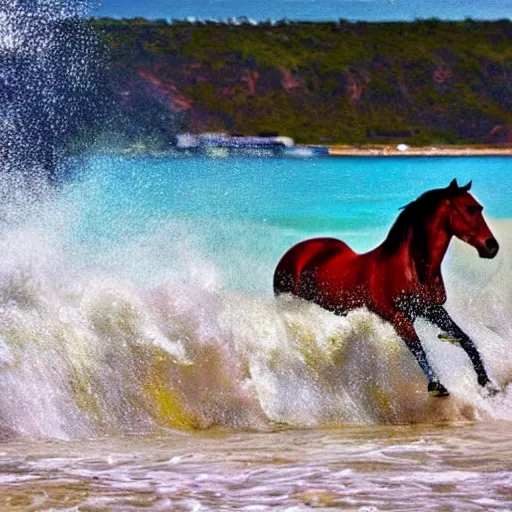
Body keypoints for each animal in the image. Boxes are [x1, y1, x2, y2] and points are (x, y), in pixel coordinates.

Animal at [274, 178, 502, 398]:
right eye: (469, 209)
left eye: (479, 208)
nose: (492, 247)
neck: (410, 267)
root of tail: (291, 254)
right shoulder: (399, 319)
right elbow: (418, 349)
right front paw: (436, 386)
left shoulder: (431, 309)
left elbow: (465, 340)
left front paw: (486, 383)